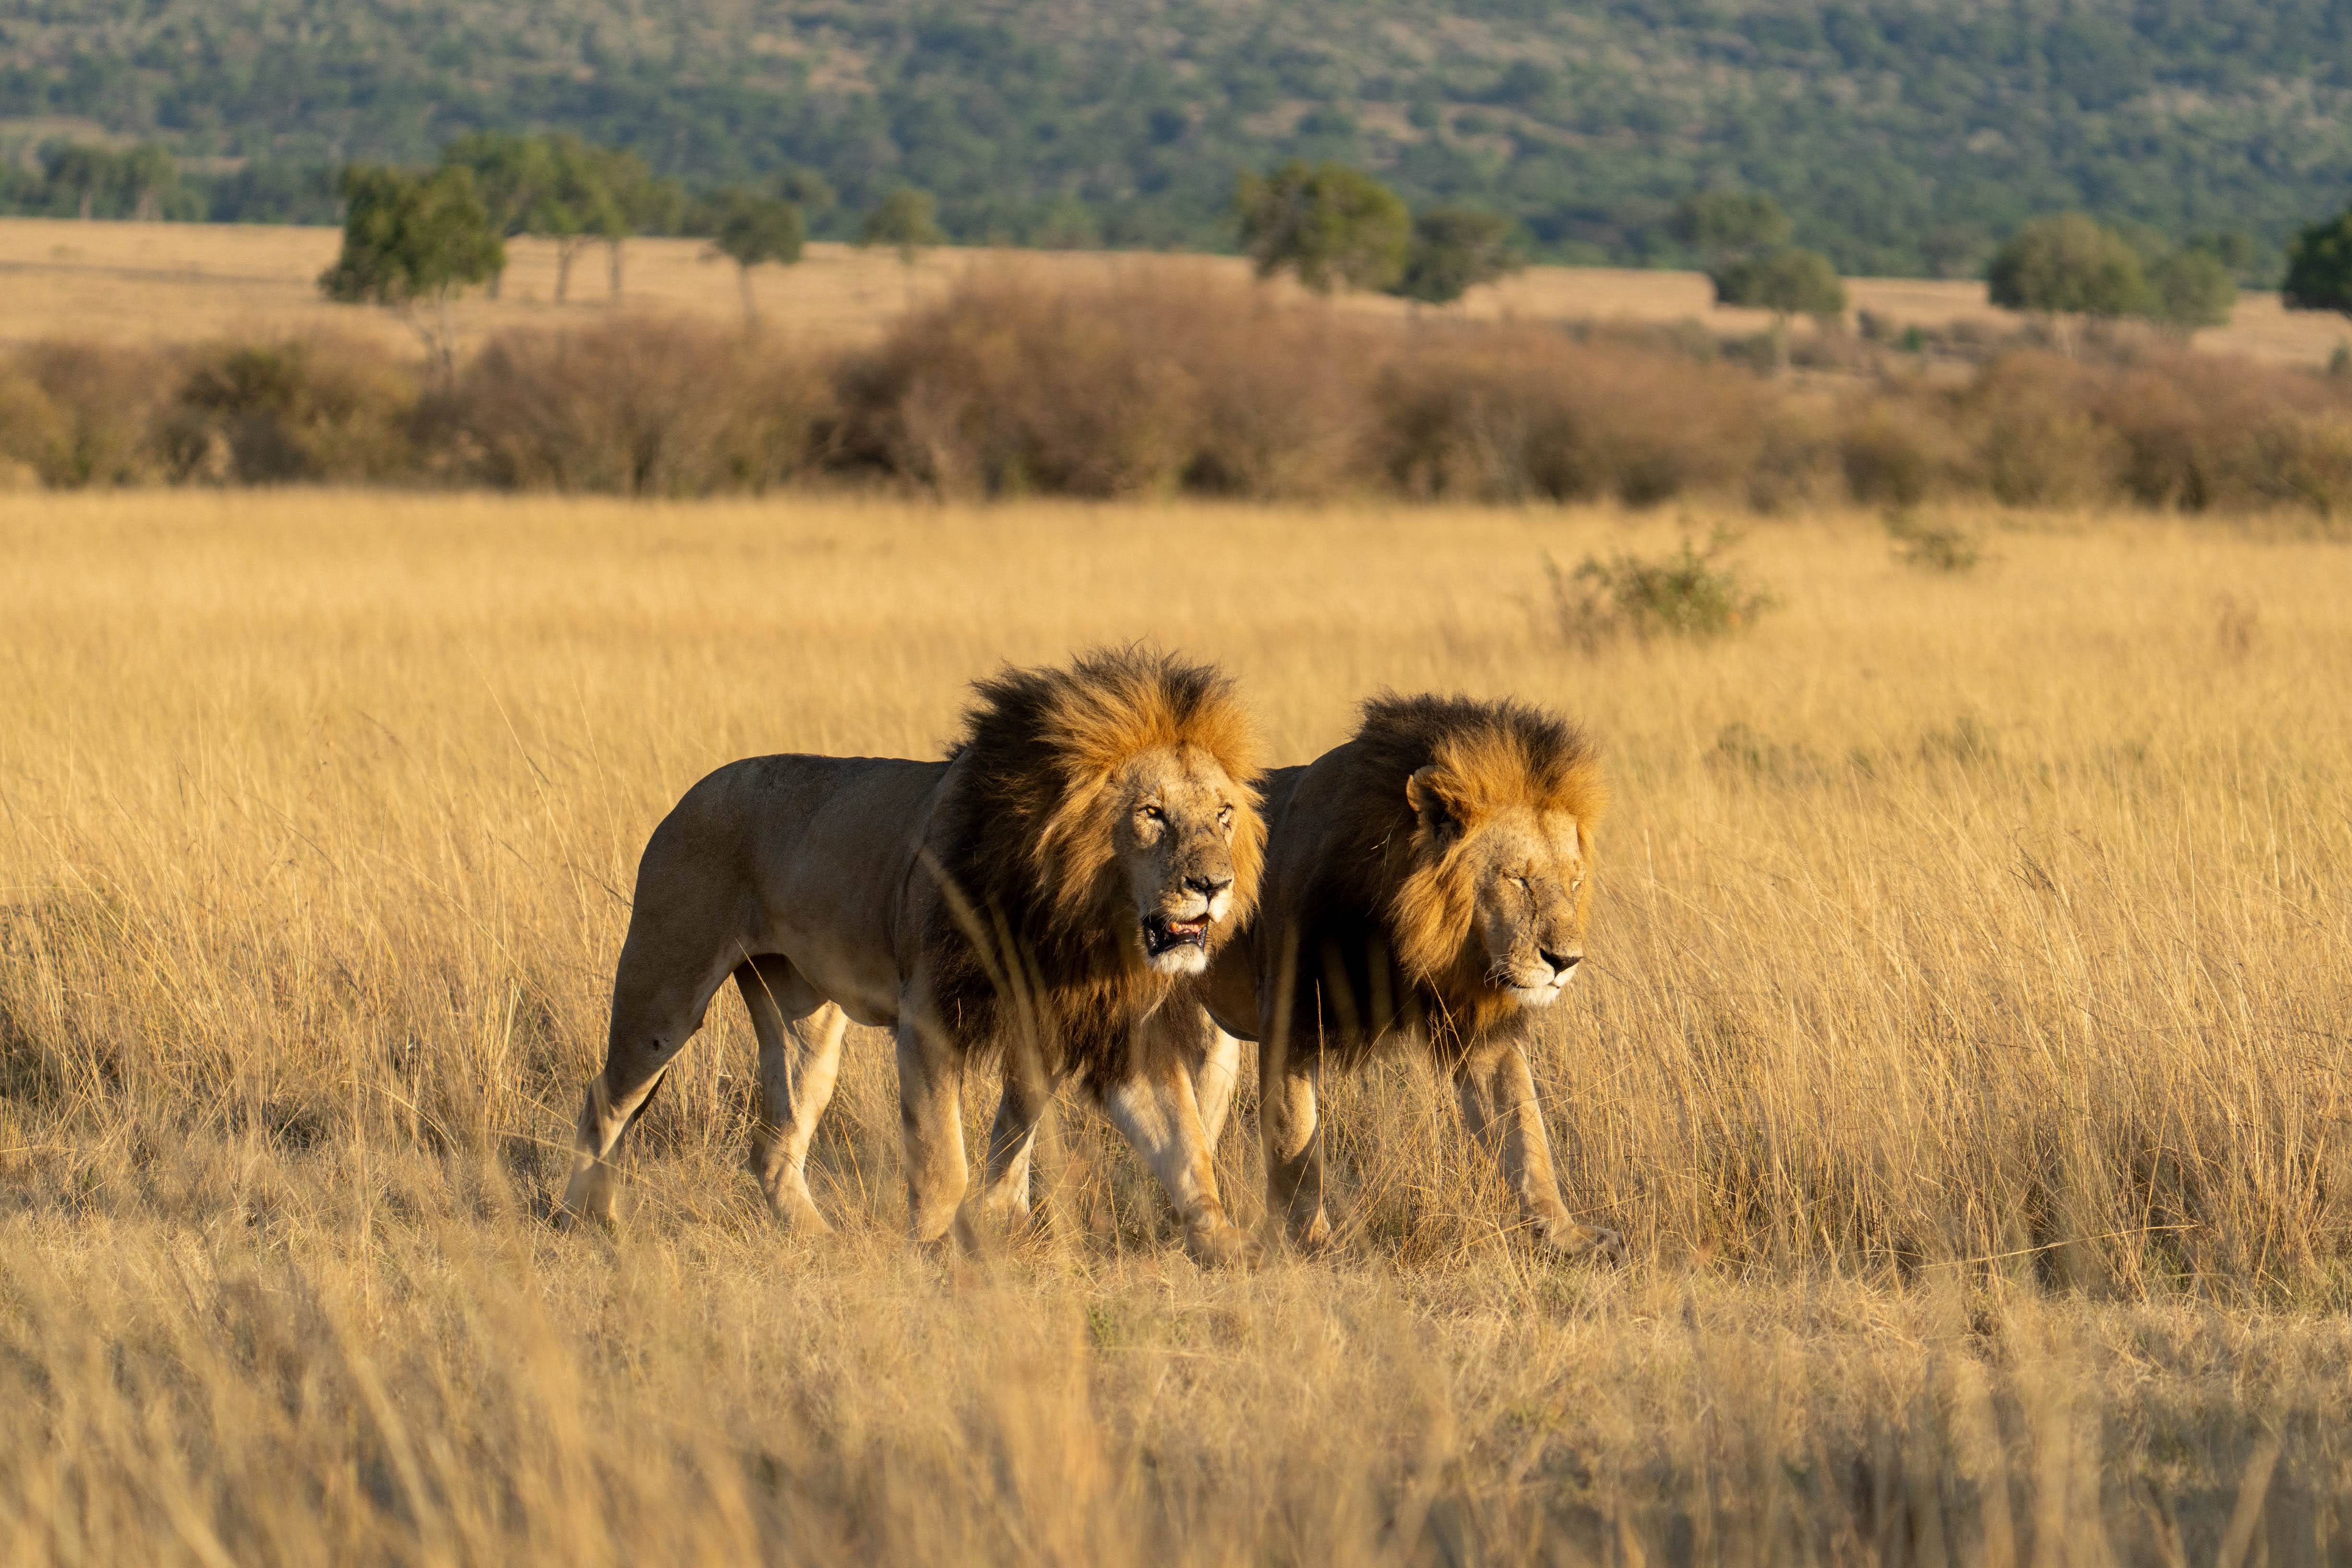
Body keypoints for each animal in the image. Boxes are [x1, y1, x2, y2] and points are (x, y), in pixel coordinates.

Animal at [561, 646, 1266, 1265]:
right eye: (1152, 813)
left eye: (1222, 815)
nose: (1214, 885)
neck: (1077, 918)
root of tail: (691, 793)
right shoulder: (931, 1015)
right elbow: (941, 1154)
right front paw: (934, 1249)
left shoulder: (1115, 1033)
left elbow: (1184, 1145)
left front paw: (1225, 1242)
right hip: (663, 994)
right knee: (605, 1099)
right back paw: (583, 1217)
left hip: (805, 1027)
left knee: (773, 1143)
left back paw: (817, 1237)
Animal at [1197, 692, 1623, 1260]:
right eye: (1519, 879)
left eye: (1574, 883)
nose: (1565, 962)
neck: (1409, 935)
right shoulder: (1292, 1014)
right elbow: (1295, 1139)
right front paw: (1312, 1243)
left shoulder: (1479, 1030)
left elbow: (1525, 1132)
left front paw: (1566, 1235)